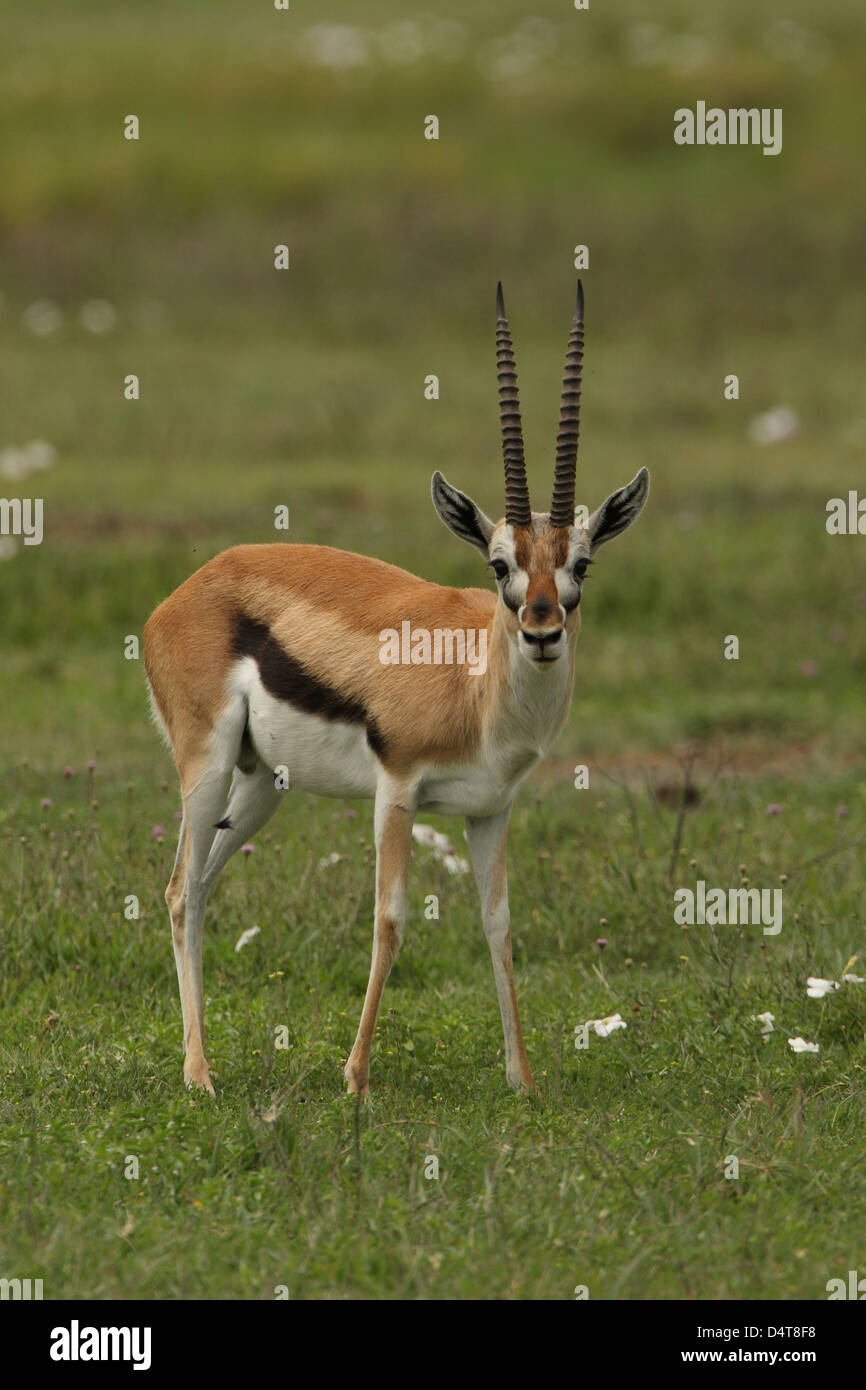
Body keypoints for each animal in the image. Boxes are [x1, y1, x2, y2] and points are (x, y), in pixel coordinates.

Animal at [143, 282, 649, 1097]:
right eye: (500, 564)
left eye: (582, 563)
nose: (542, 630)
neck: (476, 689)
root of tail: (188, 589)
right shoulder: (397, 790)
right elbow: (390, 919)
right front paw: (354, 1077)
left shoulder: (490, 810)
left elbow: (500, 925)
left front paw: (522, 1079)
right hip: (208, 765)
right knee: (181, 891)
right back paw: (200, 1076)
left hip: (259, 786)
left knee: (200, 886)